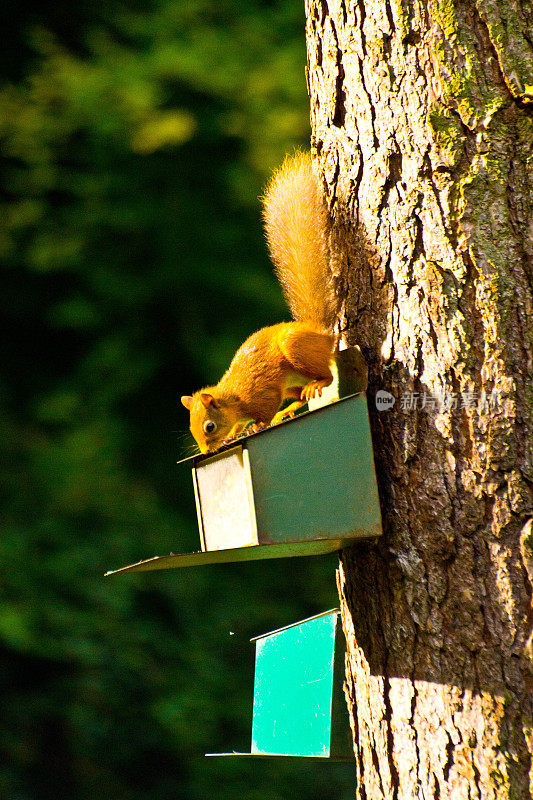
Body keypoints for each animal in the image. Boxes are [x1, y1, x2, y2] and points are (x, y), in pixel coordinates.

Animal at [180, 153, 336, 454]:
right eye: (192, 430)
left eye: (209, 427)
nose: (206, 453)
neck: (234, 401)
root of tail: (321, 332)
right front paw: (234, 434)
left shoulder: (261, 394)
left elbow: (263, 411)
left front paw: (256, 425)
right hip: (292, 382)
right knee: (299, 397)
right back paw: (286, 411)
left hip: (296, 350)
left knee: (326, 377)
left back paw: (313, 387)